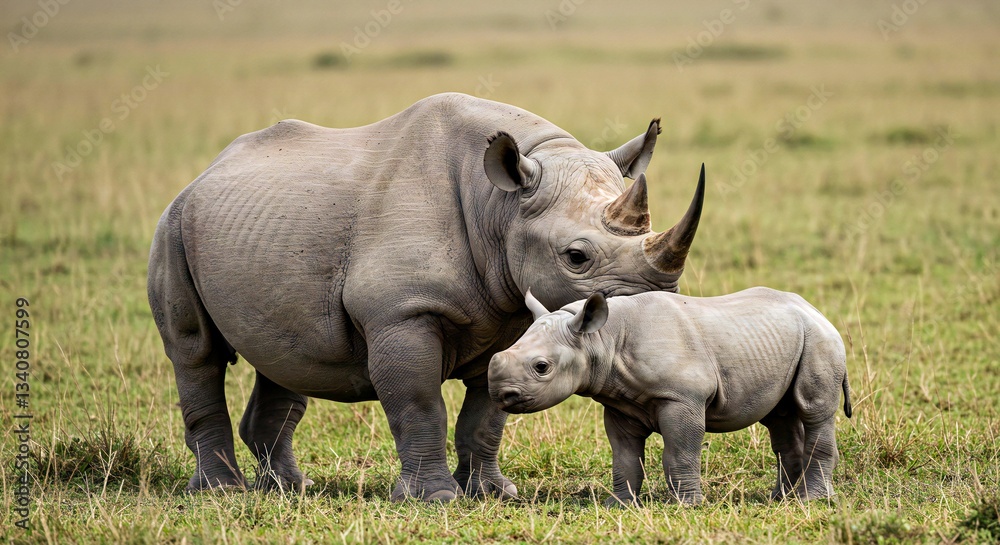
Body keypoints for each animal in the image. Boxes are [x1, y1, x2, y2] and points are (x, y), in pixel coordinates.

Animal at [147, 92, 705, 501]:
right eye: (576, 257)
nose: (650, 316)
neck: (502, 204)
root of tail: (204, 173)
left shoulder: (509, 311)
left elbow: (486, 416)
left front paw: (493, 493)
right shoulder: (401, 312)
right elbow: (419, 403)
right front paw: (434, 499)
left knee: (284, 356)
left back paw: (289, 489)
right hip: (172, 224)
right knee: (195, 352)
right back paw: (221, 492)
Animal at [488, 286, 851, 505]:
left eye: (542, 367)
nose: (499, 394)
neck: (601, 338)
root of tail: (817, 311)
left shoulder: (682, 397)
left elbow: (680, 452)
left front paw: (687, 505)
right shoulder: (619, 402)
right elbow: (624, 457)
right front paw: (619, 505)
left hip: (820, 340)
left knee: (813, 410)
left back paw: (811, 500)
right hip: (788, 340)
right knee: (781, 417)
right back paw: (781, 498)